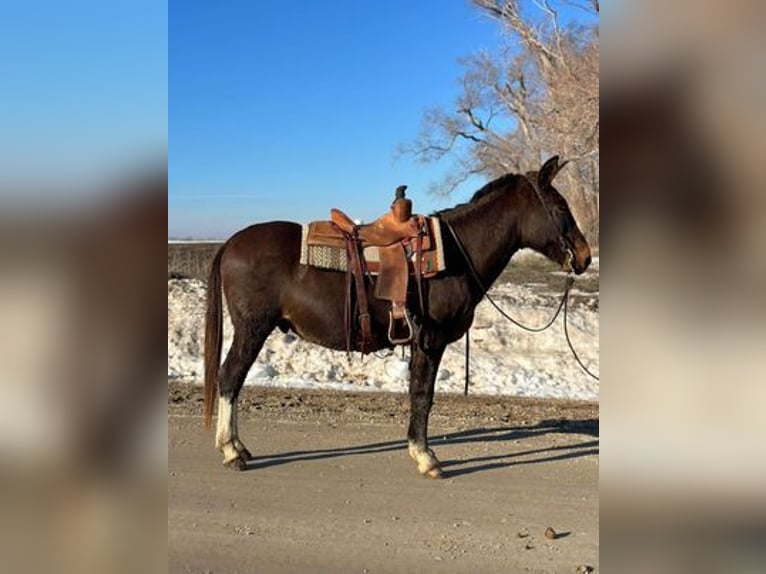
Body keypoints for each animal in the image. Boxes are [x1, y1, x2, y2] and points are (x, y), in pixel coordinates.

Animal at [204, 156, 592, 476]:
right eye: (560, 206)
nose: (585, 256)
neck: (455, 253)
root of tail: (231, 243)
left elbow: (418, 393)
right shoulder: (431, 341)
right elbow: (422, 394)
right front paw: (426, 457)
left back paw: (237, 447)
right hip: (253, 329)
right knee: (230, 377)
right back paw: (231, 451)